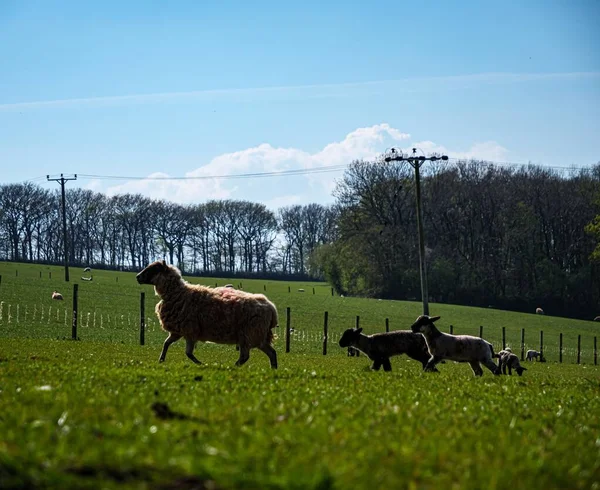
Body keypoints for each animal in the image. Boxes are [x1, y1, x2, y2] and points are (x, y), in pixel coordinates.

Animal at [136, 260, 278, 368]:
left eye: (153, 269)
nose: (137, 276)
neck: (177, 294)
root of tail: (271, 307)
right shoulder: (178, 331)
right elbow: (166, 344)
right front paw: (161, 360)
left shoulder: (190, 331)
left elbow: (188, 353)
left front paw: (201, 364)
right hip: (257, 336)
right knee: (271, 352)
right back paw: (273, 369)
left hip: (249, 334)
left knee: (245, 356)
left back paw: (233, 367)